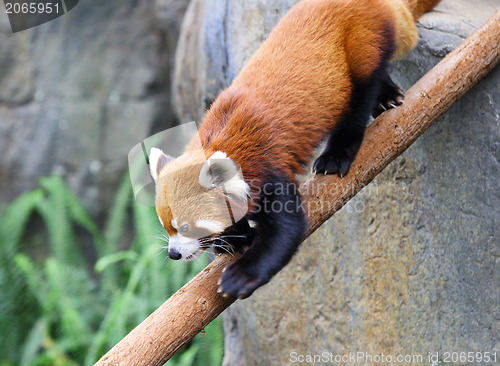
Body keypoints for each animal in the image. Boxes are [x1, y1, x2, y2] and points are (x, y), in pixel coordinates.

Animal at [150, 0, 440, 298]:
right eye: (166, 226)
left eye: (187, 227)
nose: (173, 253)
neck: (219, 138)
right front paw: (234, 236)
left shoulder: (267, 167)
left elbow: (287, 229)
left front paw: (242, 275)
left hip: (361, 43)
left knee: (361, 94)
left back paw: (339, 150)